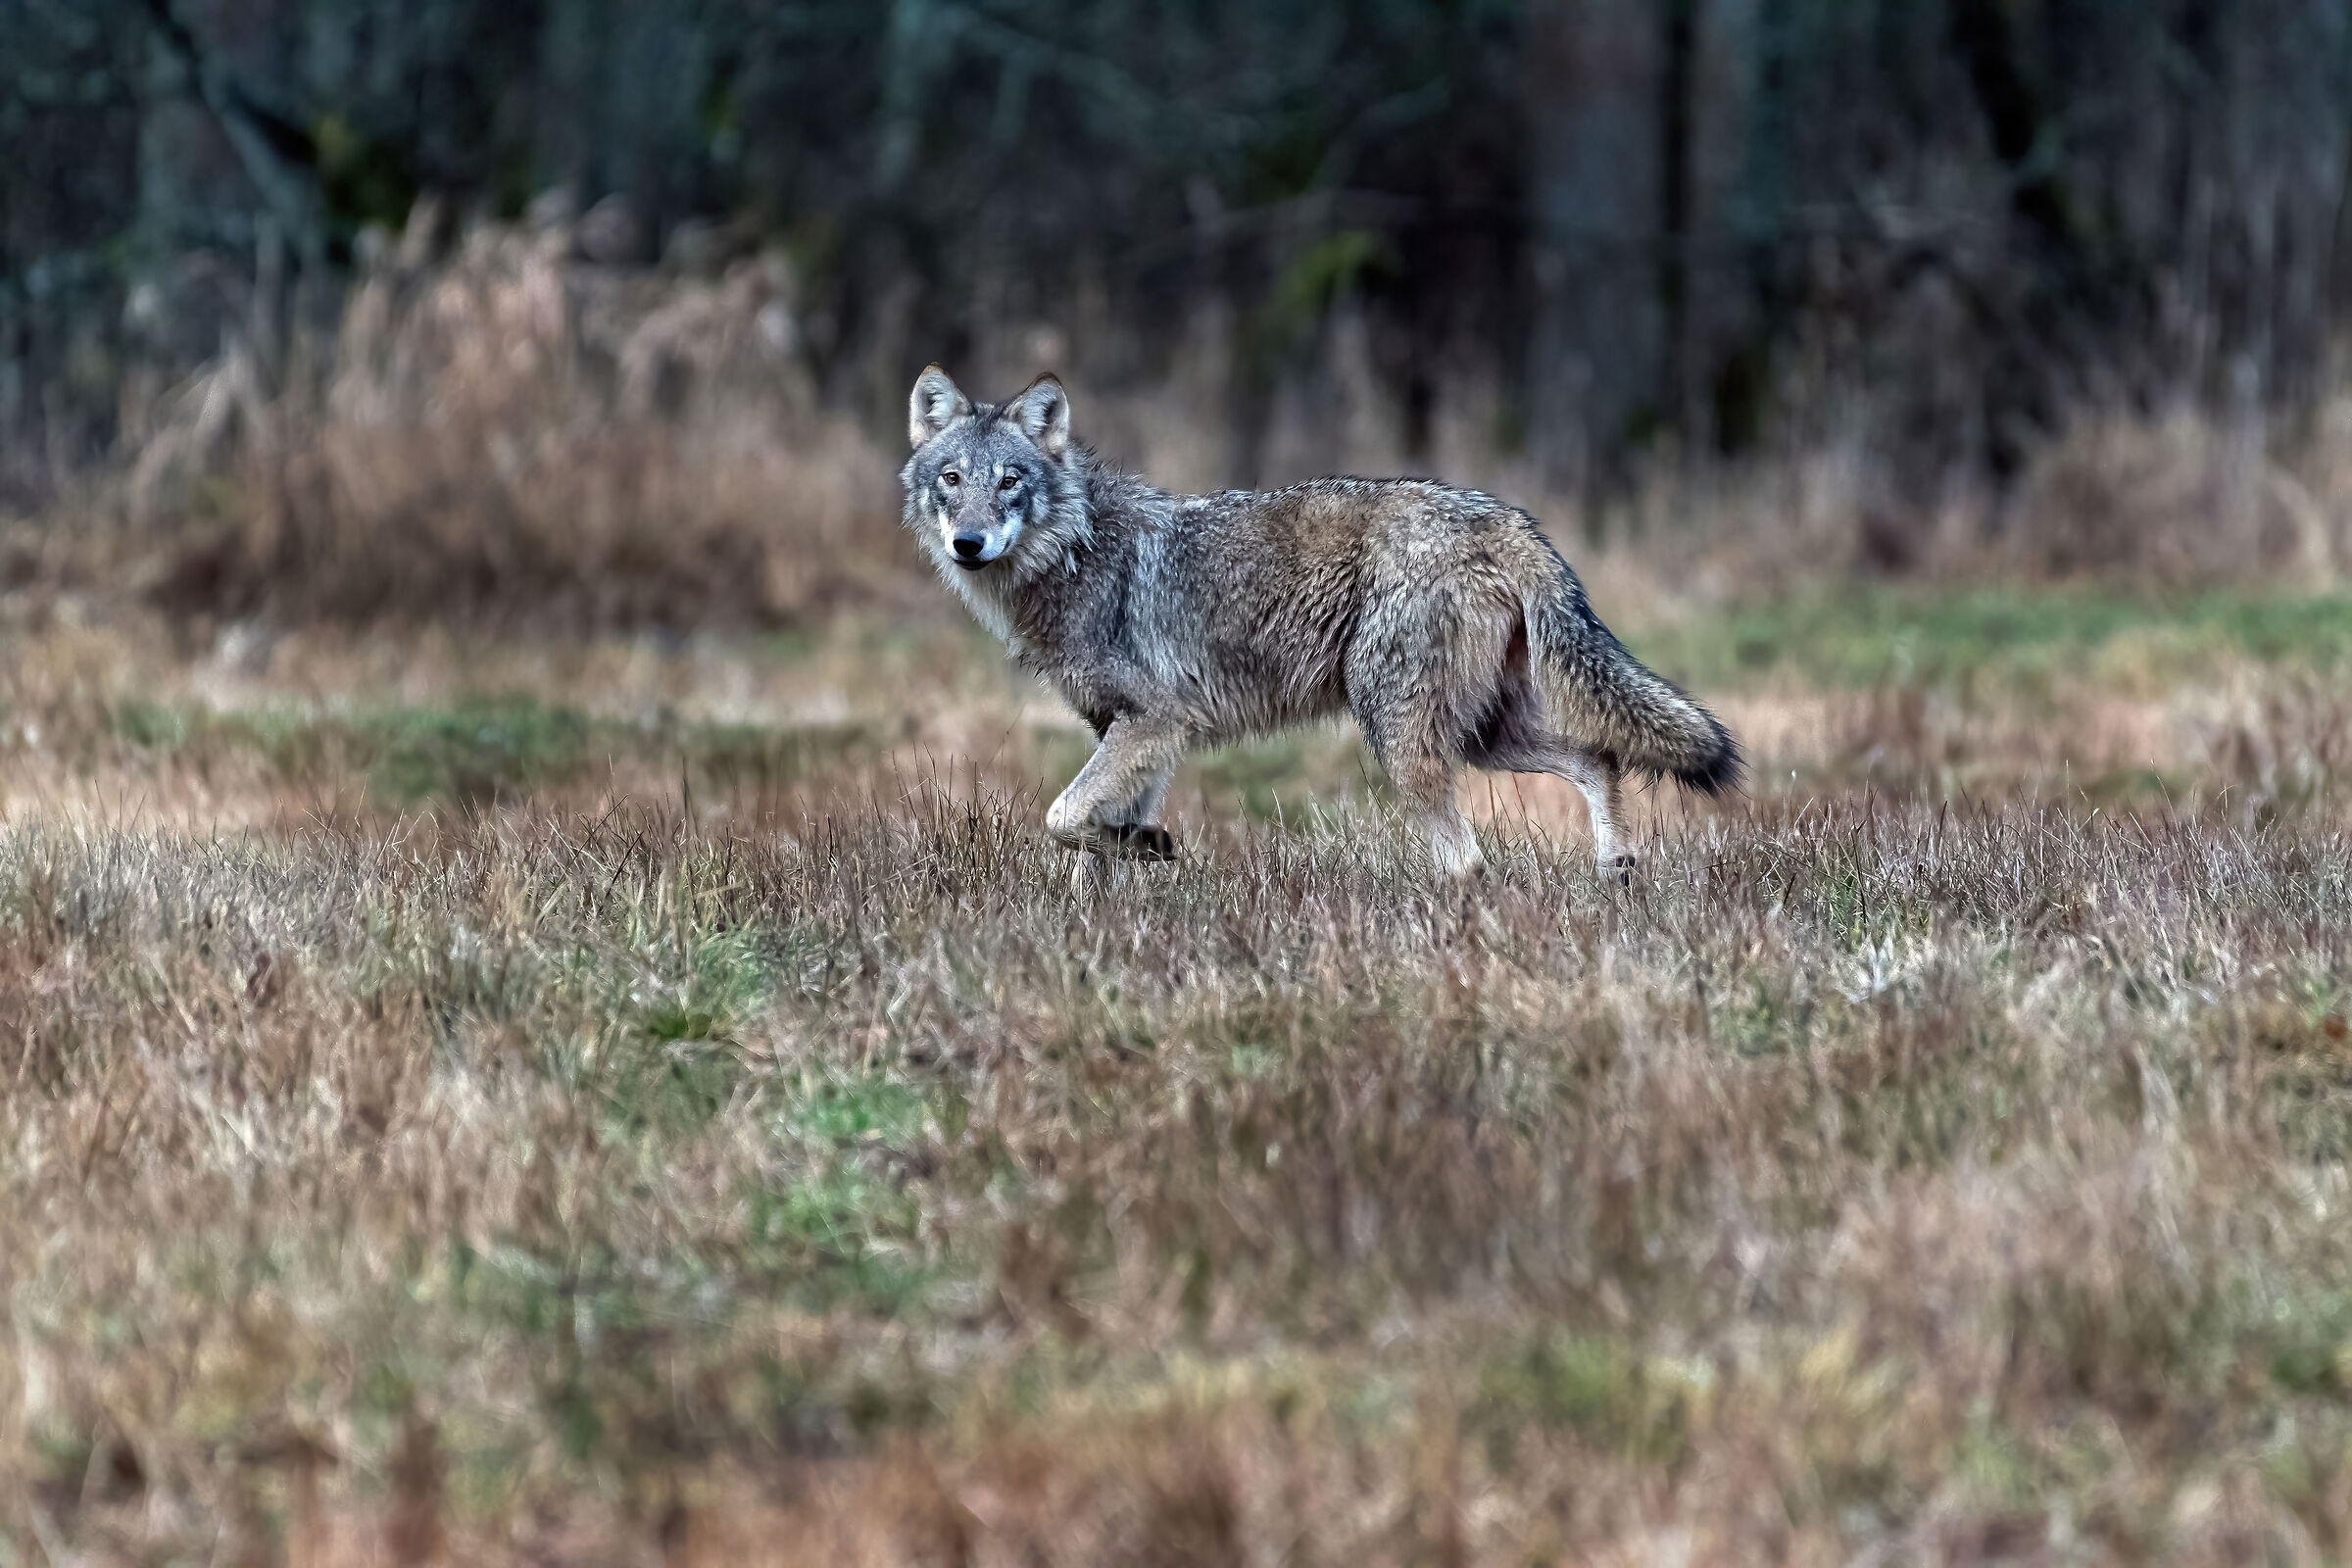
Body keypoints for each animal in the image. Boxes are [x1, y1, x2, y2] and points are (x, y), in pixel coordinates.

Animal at [901, 366, 1739, 879]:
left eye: (1010, 482)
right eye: (953, 480)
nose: (968, 543)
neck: (1076, 552)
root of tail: (1505, 519)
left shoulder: (1154, 722)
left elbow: (1058, 816)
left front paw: (1142, 847)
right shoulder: (1137, 735)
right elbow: (1089, 846)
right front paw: (1127, 872)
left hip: (1403, 737)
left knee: (1469, 860)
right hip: (1485, 737)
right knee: (1599, 758)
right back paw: (1615, 870)